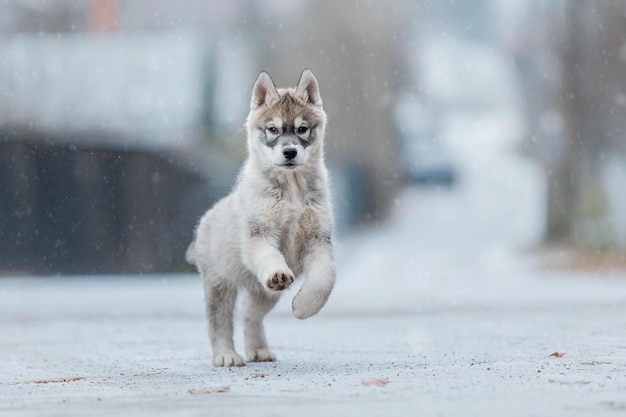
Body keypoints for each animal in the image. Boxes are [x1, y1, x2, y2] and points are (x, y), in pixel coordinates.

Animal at [186, 70, 336, 366]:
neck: (292, 190)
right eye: (273, 130)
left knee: (249, 313)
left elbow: (325, 279)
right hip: (220, 286)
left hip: (263, 293)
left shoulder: (318, 241)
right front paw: (279, 273)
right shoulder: (260, 235)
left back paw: (258, 350)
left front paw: (303, 308)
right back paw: (226, 355)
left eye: (302, 129)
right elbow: (270, 256)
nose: (289, 152)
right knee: (219, 323)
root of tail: (204, 222)